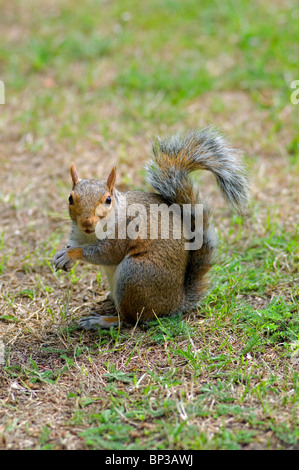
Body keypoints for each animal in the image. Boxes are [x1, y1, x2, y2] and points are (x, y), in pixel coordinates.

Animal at [53, 126, 248, 328]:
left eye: (108, 199)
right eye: (70, 198)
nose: (87, 222)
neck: (91, 235)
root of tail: (176, 302)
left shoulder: (123, 234)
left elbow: (104, 254)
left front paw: (70, 254)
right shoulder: (77, 234)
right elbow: (73, 243)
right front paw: (62, 257)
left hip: (135, 275)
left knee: (130, 319)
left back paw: (102, 321)